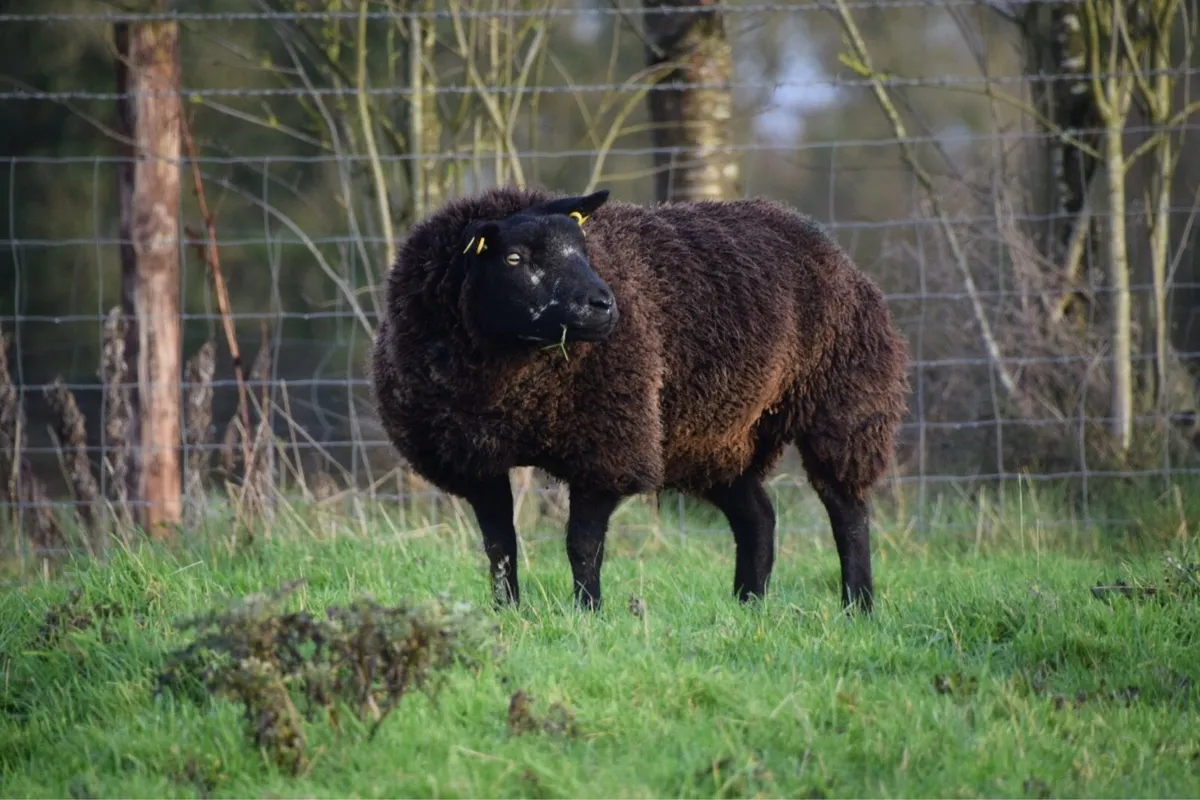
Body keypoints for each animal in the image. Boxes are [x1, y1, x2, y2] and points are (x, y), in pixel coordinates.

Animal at [371, 185, 909, 614]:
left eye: (583, 249)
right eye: (514, 259)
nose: (603, 305)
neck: (512, 385)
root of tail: (818, 238)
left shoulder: (608, 444)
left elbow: (582, 544)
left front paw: (586, 613)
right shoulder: (475, 460)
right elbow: (500, 547)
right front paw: (507, 612)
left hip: (843, 404)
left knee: (848, 512)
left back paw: (858, 606)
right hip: (715, 435)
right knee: (757, 517)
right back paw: (748, 606)